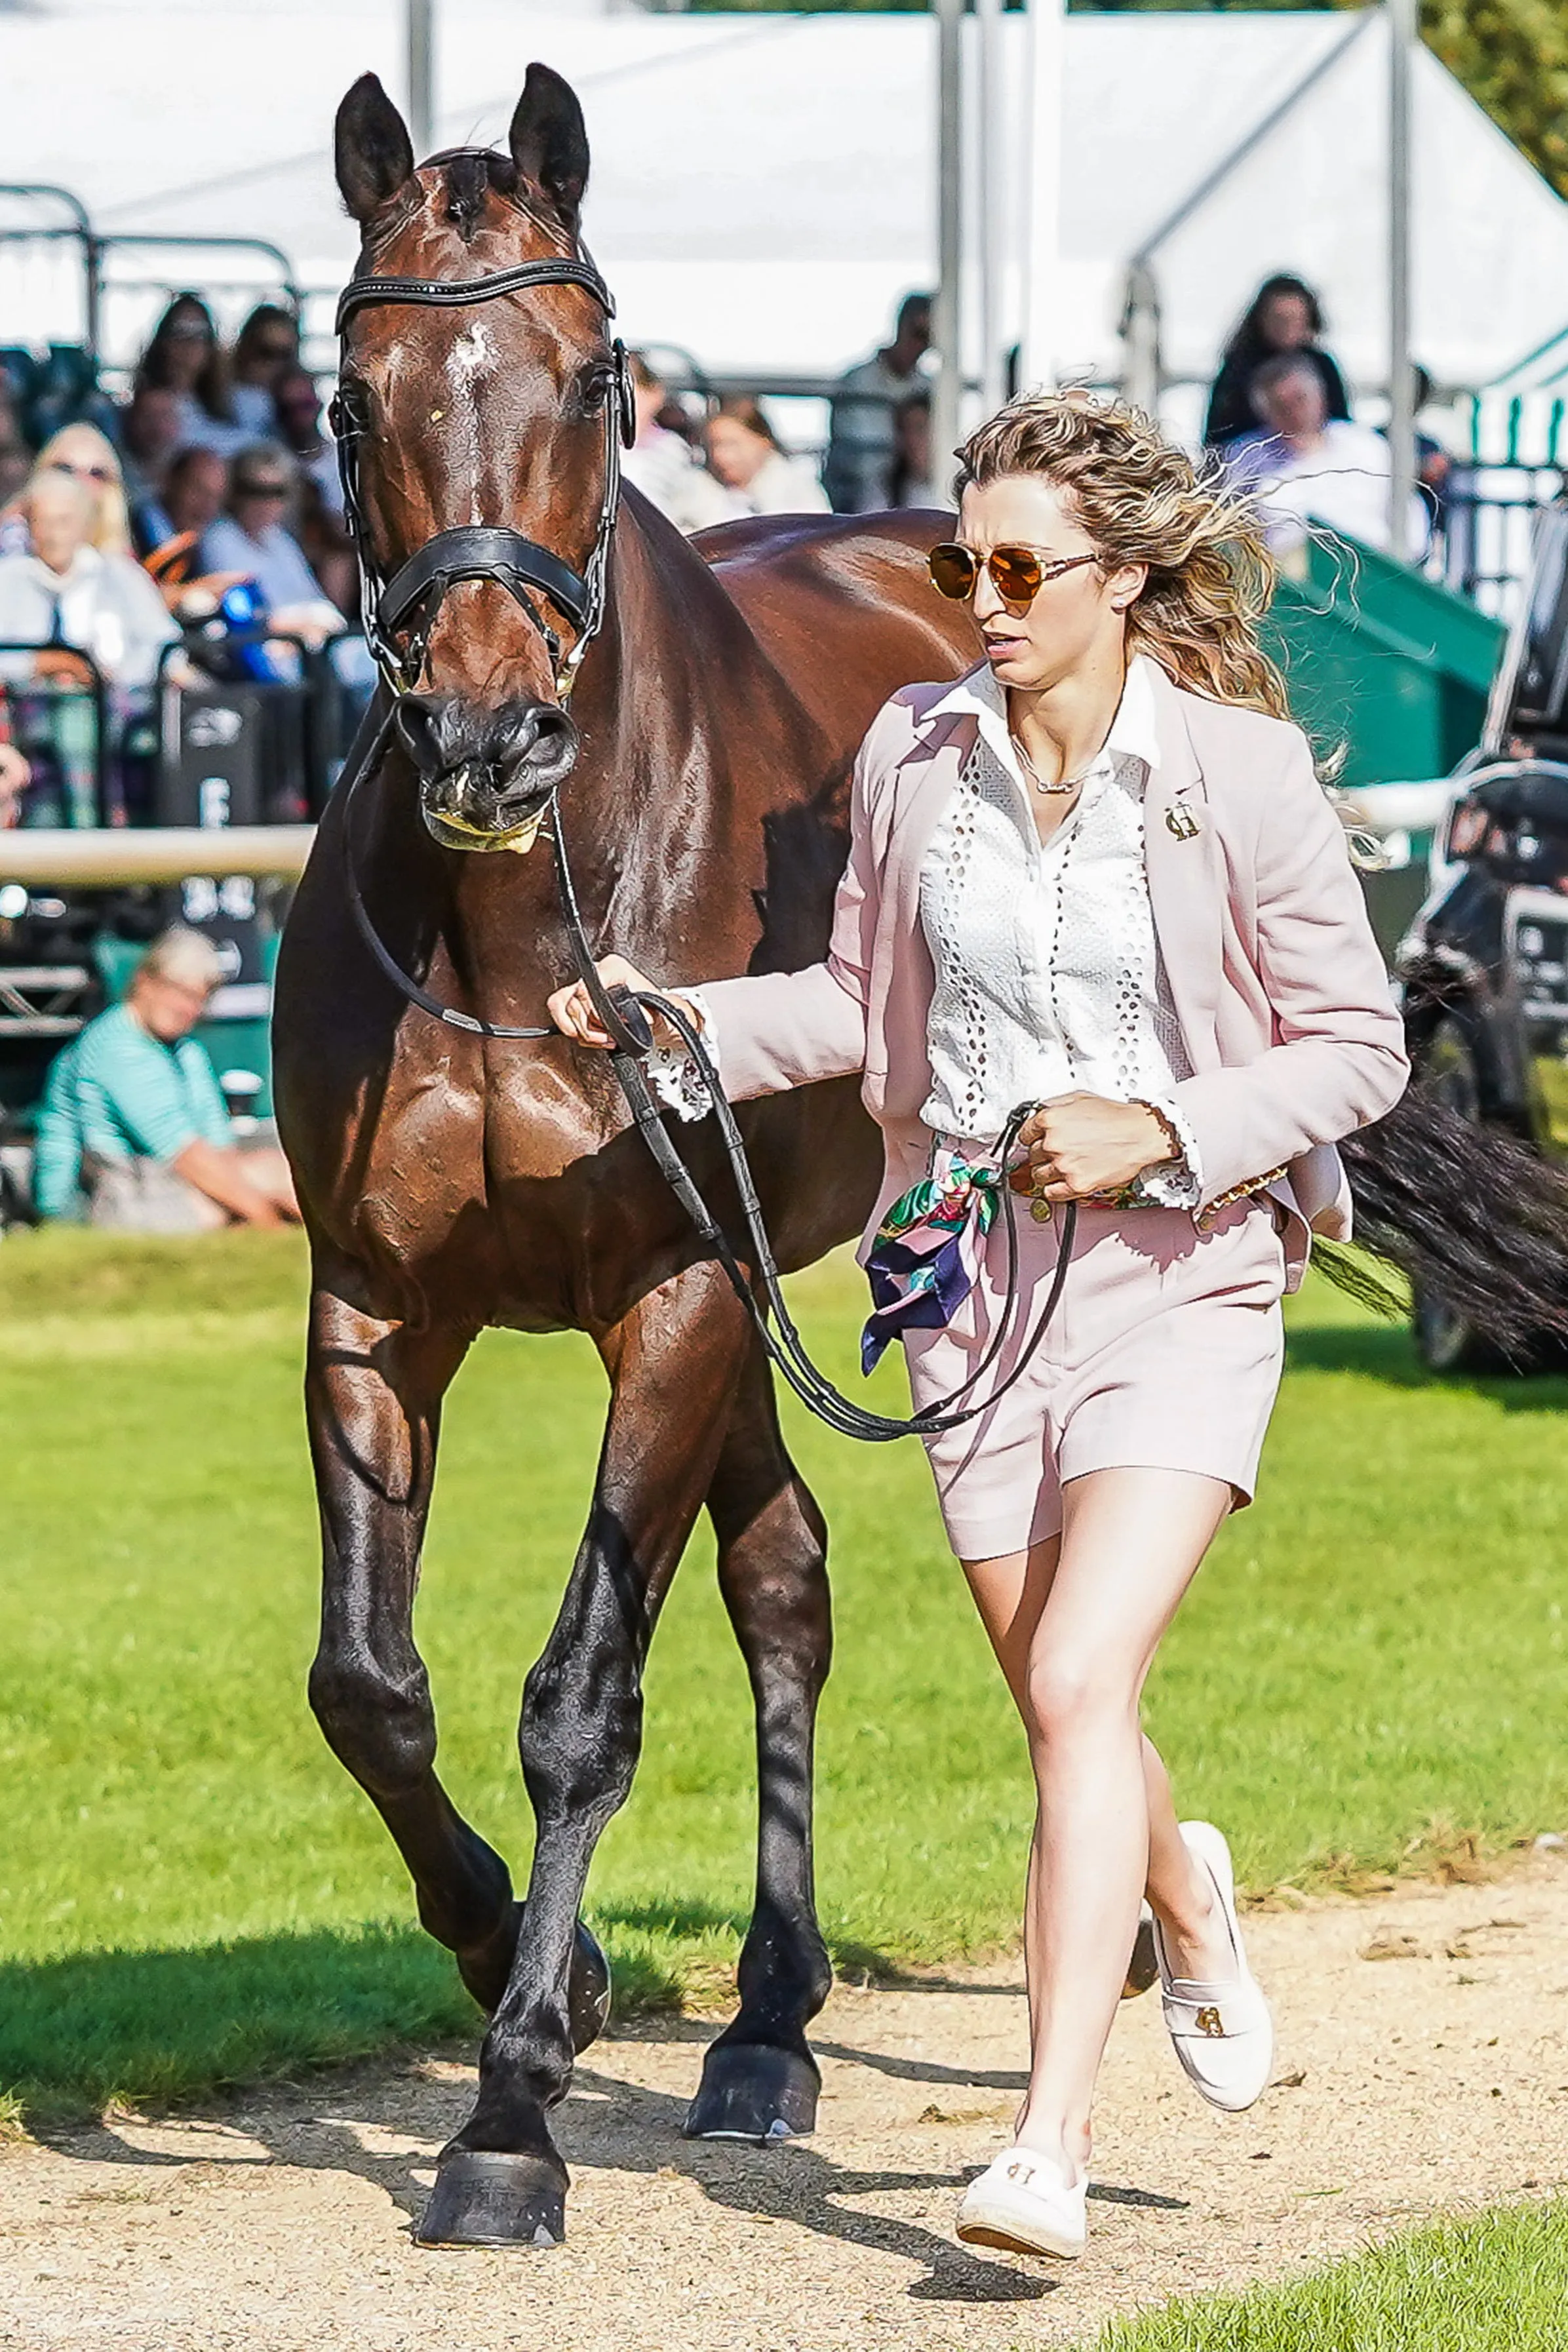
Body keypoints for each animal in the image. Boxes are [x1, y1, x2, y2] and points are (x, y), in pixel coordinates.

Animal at [276, 64, 973, 2248]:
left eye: (596, 377)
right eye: (348, 395)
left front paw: (509, 2108)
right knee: (785, 1571)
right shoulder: (374, 1308)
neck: (528, 927)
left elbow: (580, 1699)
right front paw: (542, 1957)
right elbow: (369, 1684)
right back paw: (763, 2016)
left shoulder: (670, 1295)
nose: (485, 733)